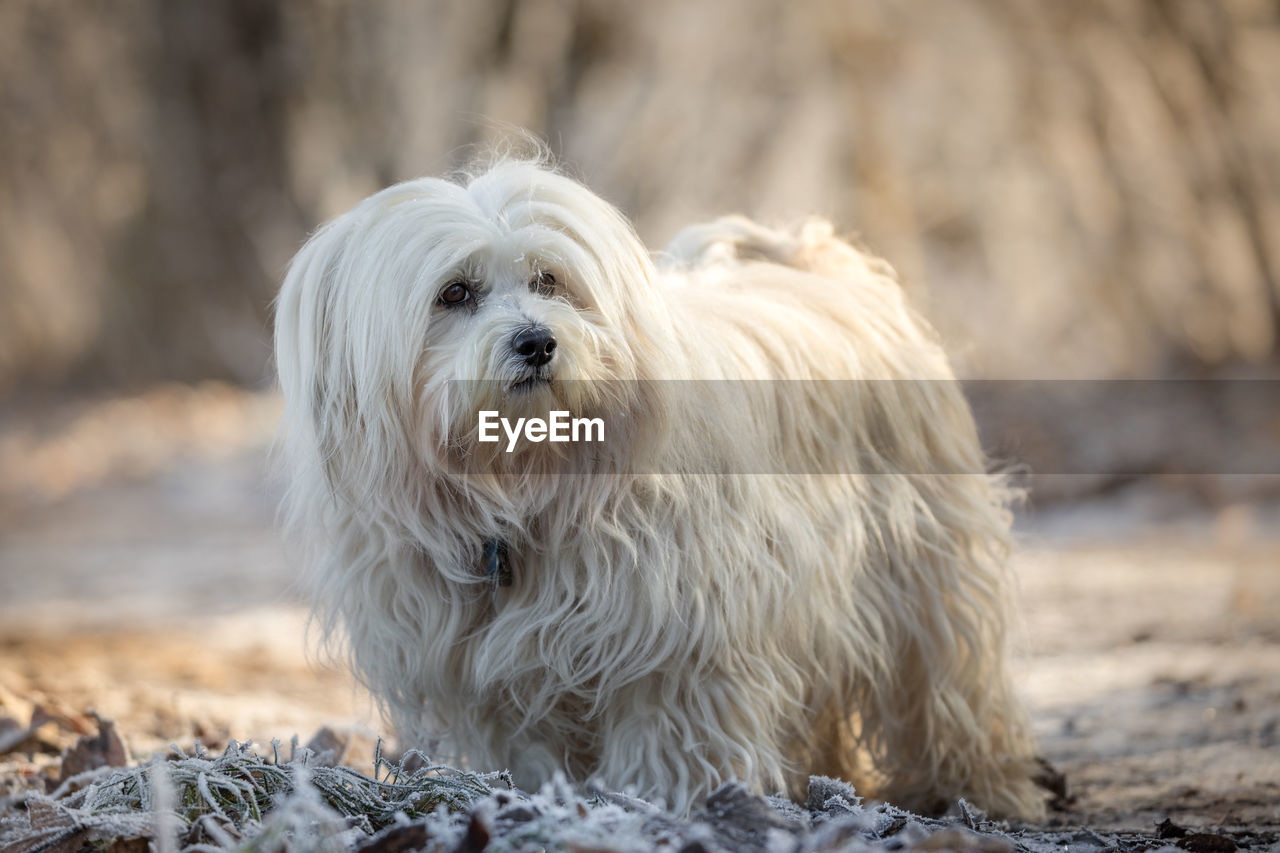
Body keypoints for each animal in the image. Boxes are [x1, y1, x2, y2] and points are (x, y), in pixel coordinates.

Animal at [275, 154, 1044, 819]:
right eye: (454, 293)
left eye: (549, 280)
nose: (537, 342)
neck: (524, 488)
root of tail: (817, 262)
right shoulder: (485, 664)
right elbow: (529, 742)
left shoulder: (678, 632)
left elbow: (668, 732)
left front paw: (657, 803)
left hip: (924, 571)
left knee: (948, 682)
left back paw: (981, 788)